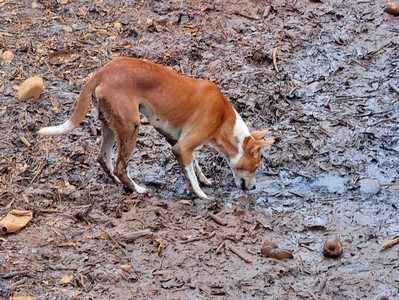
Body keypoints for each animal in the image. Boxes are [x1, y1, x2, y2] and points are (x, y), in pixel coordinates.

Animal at [38, 58, 276, 199]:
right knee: (120, 166)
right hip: (131, 127)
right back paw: (137, 189)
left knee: (104, 159)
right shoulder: (182, 146)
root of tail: (103, 71)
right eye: (255, 167)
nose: (254, 188)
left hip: (110, 126)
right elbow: (191, 171)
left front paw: (204, 179)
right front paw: (201, 194)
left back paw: (120, 183)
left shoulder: (176, 139)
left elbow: (195, 164)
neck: (224, 118)